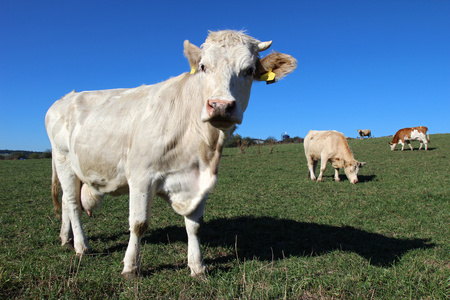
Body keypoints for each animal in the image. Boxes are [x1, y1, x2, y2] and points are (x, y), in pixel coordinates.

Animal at [45, 30, 298, 278]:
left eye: (249, 71)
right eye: (203, 66)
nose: (220, 106)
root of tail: (66, 98)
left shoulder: (200, 180)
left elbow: (195, 225)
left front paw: (197, 266)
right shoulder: (141, 176)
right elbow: (138, 224)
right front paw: (131, 267)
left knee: (67, 202)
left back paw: (66, 238)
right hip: (63, 159)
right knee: (72, 203)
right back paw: (81, 246)